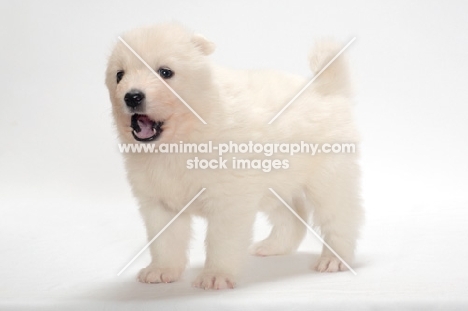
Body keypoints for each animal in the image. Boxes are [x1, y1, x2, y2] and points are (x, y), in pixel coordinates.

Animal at [105, 23, 362, 292]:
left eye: (165, 72)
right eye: (119, 75)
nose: (132, 96)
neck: (181, 139)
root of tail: (326, 90)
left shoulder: (229, 199)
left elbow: (221, 241)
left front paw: (215, 275)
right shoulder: (158, 202)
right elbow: (164, 241)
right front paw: (162, 270)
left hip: (328, 179)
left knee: (342, 216)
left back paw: (334, 259)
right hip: (276, 185)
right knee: (294, 216)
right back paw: (273, 246)